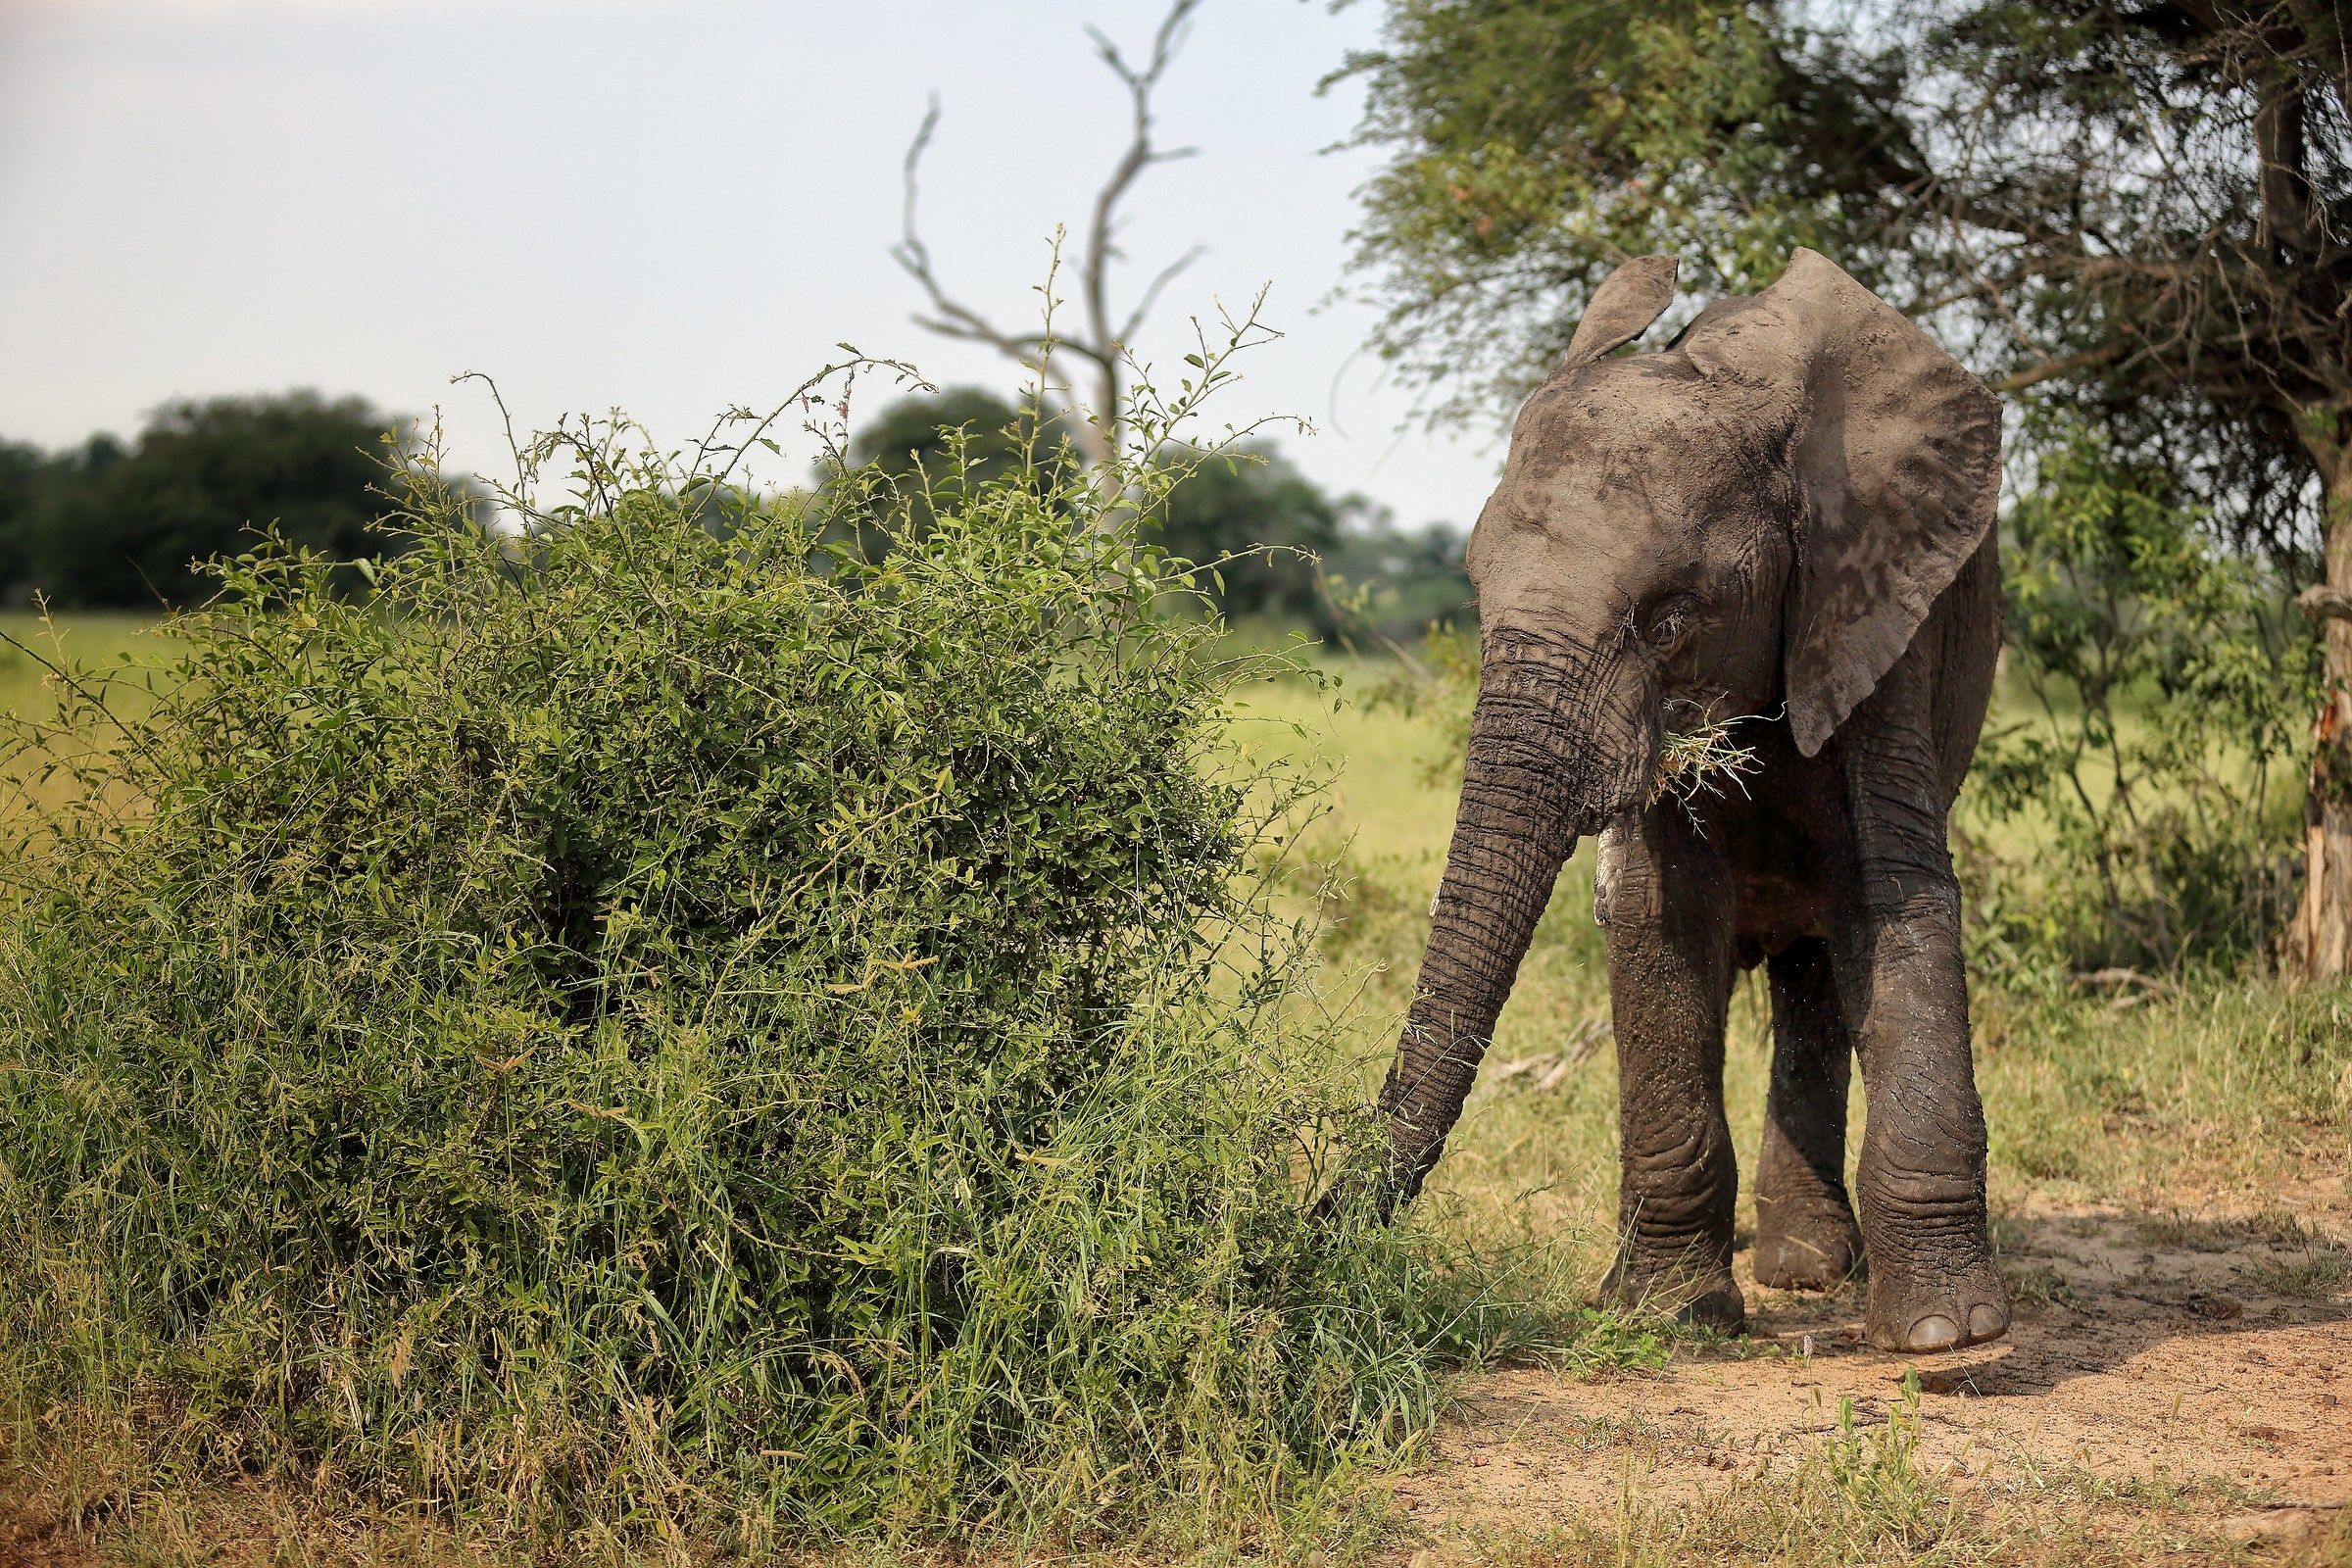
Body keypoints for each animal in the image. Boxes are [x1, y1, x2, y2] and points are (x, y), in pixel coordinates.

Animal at [1355, 247, 2009, 1355]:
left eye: (1669, 621)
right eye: (1476, 595)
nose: (1313, 1230)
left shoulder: (1881, 608)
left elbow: (1893, 894)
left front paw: (1944, 1336)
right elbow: (1659, 911)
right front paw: (1669, 1314)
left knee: (1821, 957)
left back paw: (1809, 1269)